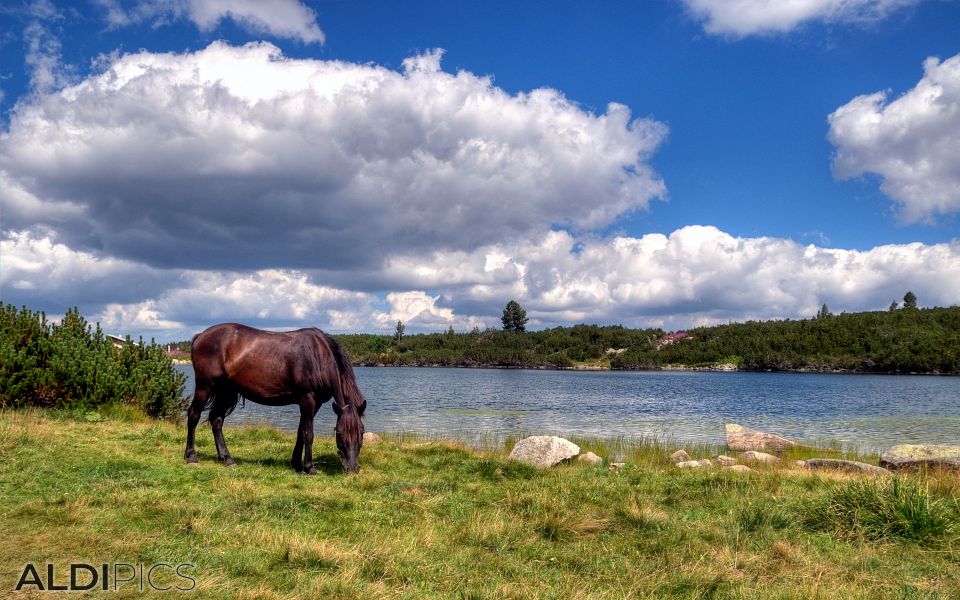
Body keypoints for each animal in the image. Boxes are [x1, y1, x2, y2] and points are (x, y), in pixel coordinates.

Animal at [184, 324, 368, 474]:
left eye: (361, 432)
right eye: (339, 432)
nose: (352, 468)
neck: (319, 357)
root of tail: (200, 336)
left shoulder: (315, 404)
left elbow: (301, 431)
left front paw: (296, 464)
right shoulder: (307, 400)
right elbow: (308, 433)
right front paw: (309, 467)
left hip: (226, 391)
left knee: (216, 420)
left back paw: (226, 458)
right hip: (205, 387)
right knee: (193, 415)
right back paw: (191, 456)